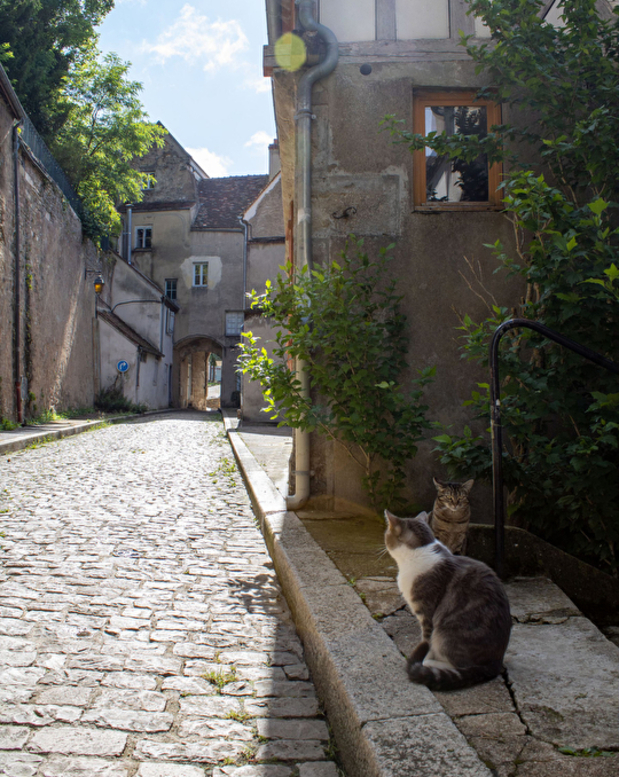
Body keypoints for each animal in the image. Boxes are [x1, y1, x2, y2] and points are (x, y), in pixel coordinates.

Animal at [386, 510, 512, 692]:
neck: (422, 549)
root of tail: (495, 663)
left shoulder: (427, 613)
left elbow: (426, 640)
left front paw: (424, 658)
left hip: (446, 634)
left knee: (458, 664)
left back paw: (430, 663)